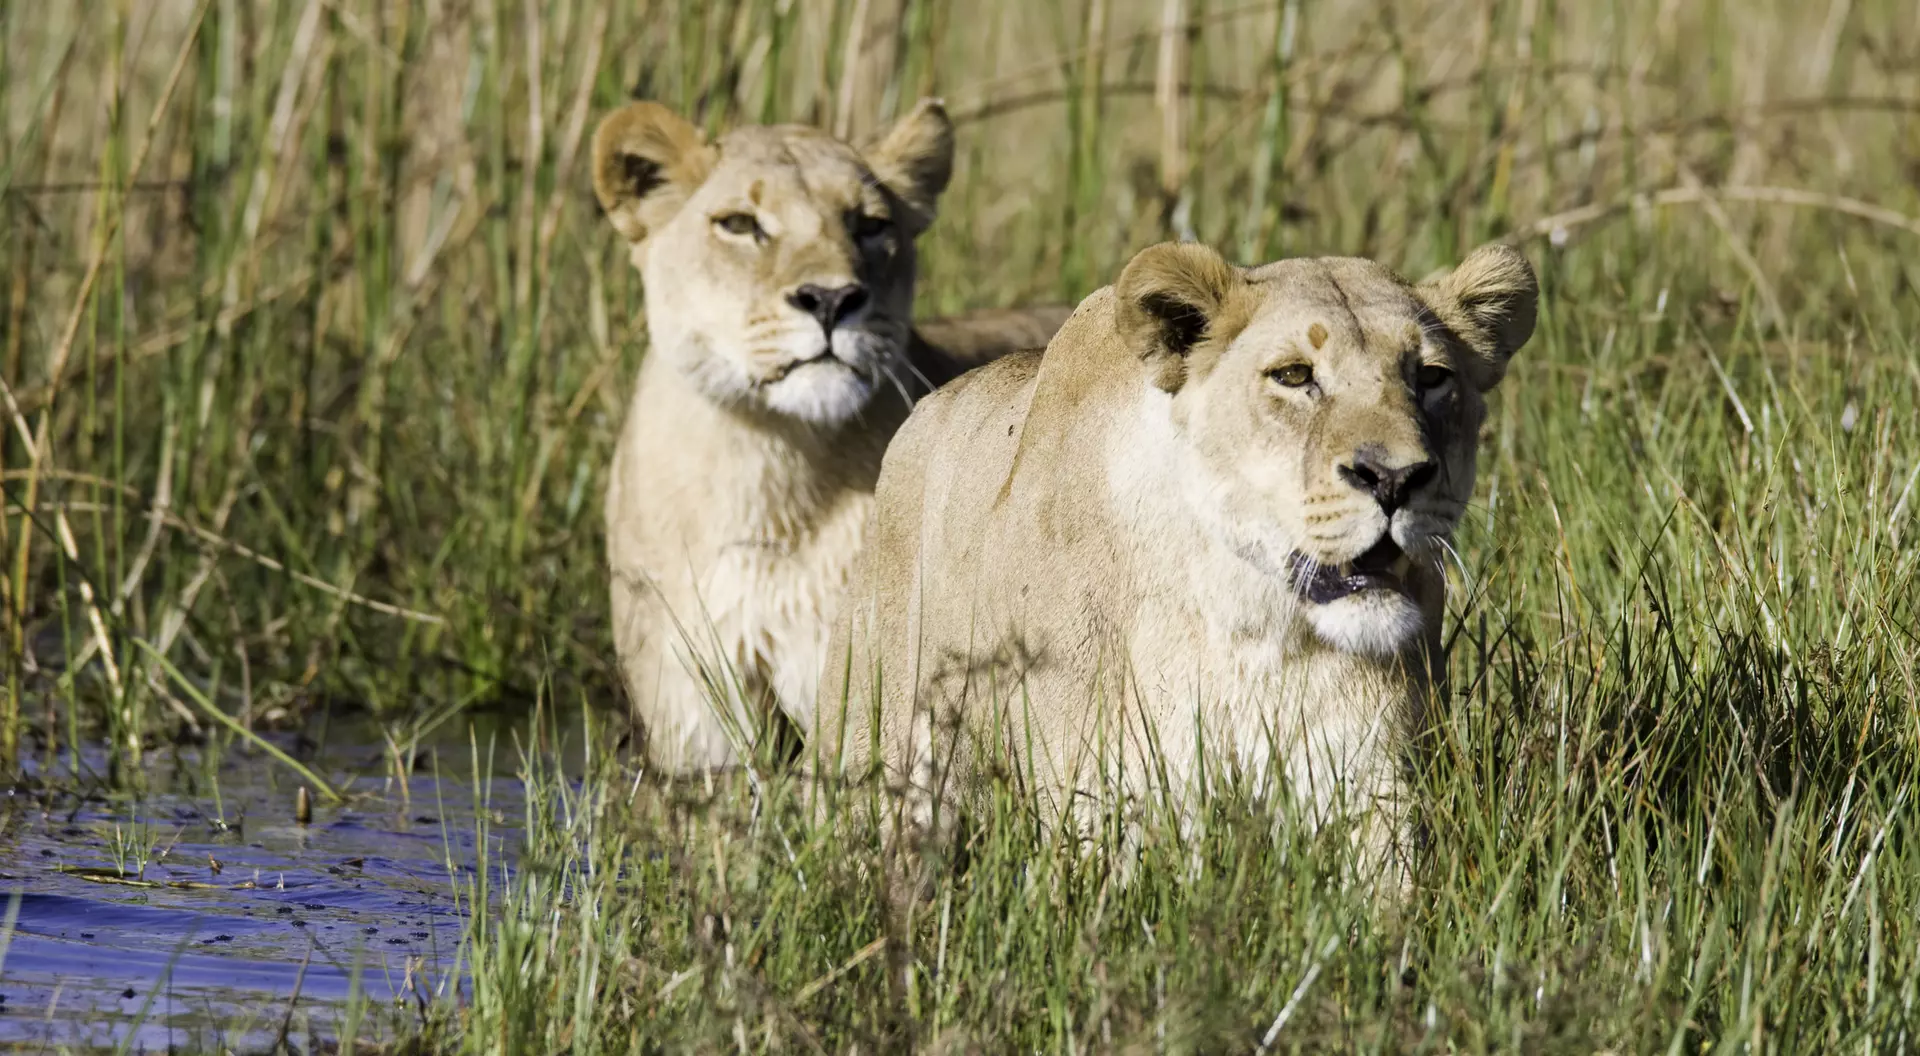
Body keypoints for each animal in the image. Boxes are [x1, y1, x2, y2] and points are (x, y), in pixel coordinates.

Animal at [814, 239, 1537, 874]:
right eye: (1295, 376)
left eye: (1432, 378)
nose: (1394, 480)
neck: (1252, 623)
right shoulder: (1108, 797)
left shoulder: (1370, 779)